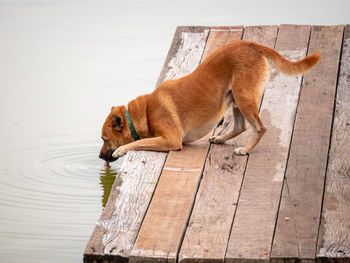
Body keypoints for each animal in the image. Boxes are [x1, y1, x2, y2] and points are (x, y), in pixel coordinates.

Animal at [98, 40, 320, 164]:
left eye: (104, 140)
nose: (100, 157)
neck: (143, 112)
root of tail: (253, 45)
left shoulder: (171, 140)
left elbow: (139, 143)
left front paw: (121, 149)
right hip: (236, 99)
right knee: (240, 126)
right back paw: (221, 139)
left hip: (244, 98)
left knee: (259, 128)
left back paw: (246, 150)